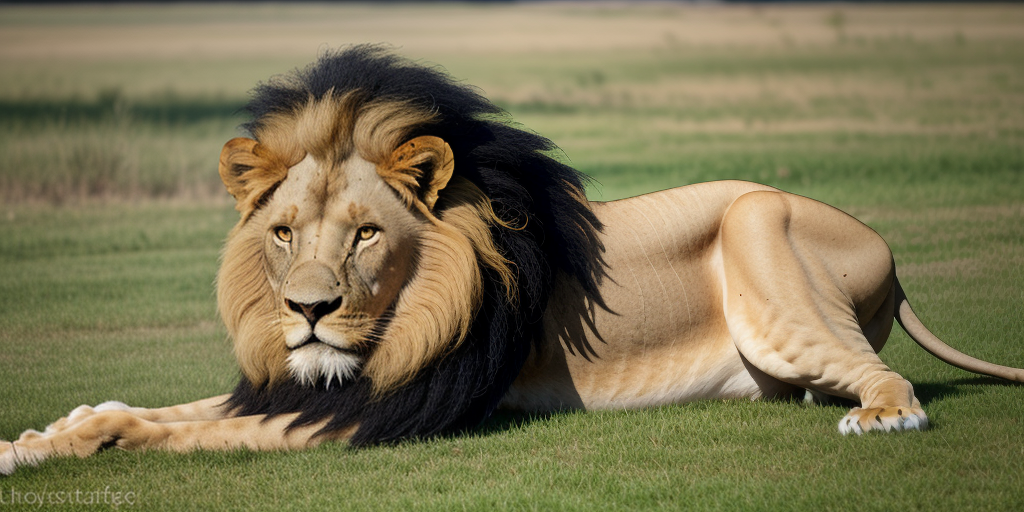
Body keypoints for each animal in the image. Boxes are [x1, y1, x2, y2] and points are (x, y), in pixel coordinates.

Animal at [2, 45, 1021, 475]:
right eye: (283, 233)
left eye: (367, 234)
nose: (308, 311)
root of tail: (885, 245)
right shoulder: (315, 389)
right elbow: (147, 411)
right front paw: (41, 438)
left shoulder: (376, 416)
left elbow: (180, 432)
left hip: (761, 229)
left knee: (887, 375)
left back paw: (881, 418)